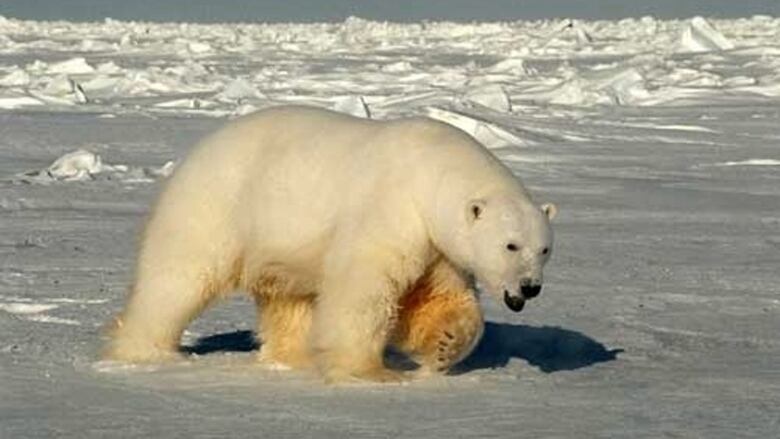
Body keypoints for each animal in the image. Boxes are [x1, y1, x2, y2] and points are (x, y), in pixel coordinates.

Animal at [105, 105, 556, 382]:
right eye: (511, 245)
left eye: (545, 249)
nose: (530, 287)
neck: (432, 173)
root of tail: (198, 151)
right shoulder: (391, 209)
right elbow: (364, 287)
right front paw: (370, 372)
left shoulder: (437, 244)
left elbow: (436, 297)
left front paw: (444, 347)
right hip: (217, 206)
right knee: (178, 278)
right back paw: (146, 352)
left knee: (289, 299)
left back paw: (294, 358)